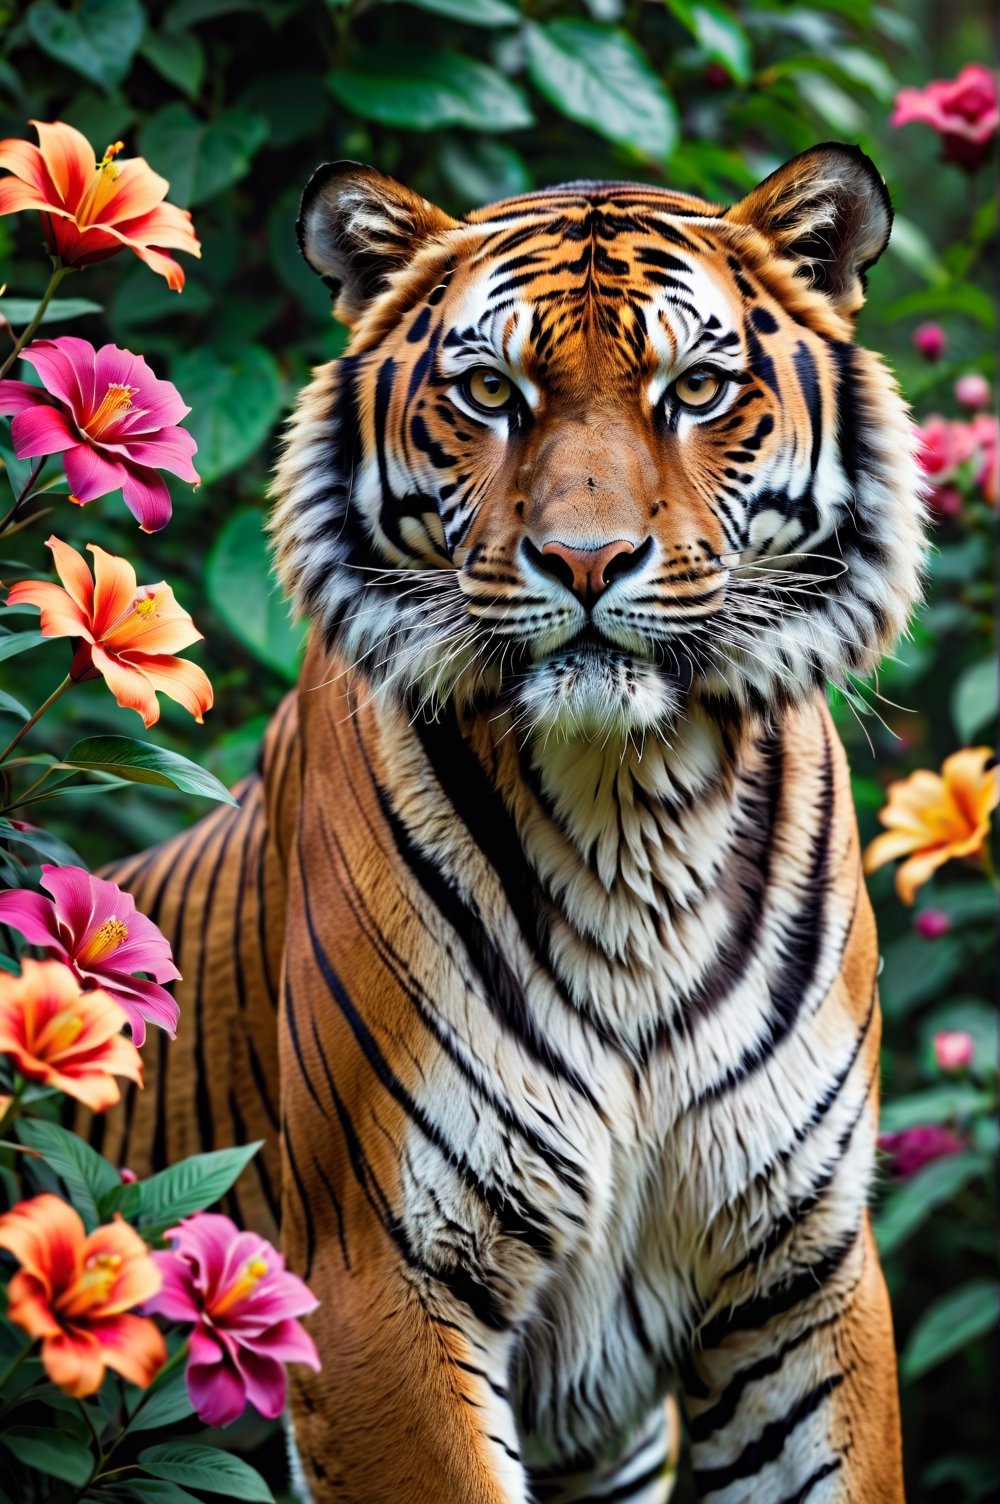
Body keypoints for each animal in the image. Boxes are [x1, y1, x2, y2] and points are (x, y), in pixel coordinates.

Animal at [101, 143, 920, 1504]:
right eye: (491, 390)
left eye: (695, 388)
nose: (585, 561)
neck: (636, 804)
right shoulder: (378, 1278)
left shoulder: (800, 1269)